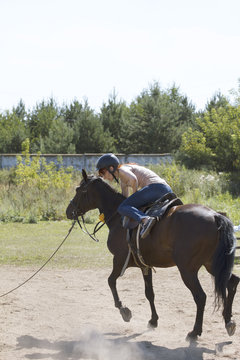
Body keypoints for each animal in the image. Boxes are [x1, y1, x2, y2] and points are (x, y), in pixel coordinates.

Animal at [65, 169, 238, 340]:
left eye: (79, 190)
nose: (68, 212)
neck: (118, 218)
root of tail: (215, 216)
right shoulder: (145, 265)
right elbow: (149, 293)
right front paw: (153, 320)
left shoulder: (119, 260)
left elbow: (111, 281)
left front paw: (124, 310)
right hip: (212, 264)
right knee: (232, 282)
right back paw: (228, 321)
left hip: (188, 270)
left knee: (200, 297)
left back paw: (195, 332)